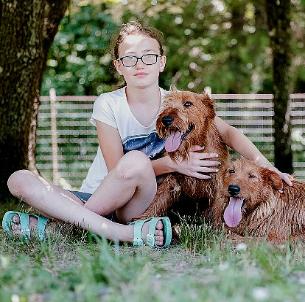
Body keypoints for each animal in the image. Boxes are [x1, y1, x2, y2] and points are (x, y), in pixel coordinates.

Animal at [136, 89, 228, 219]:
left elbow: (219, 211)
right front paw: (143, 219)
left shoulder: (218, 185)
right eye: (167, 103)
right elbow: (157, 201)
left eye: (188, 104)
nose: (166, 119)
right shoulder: (171, 181)